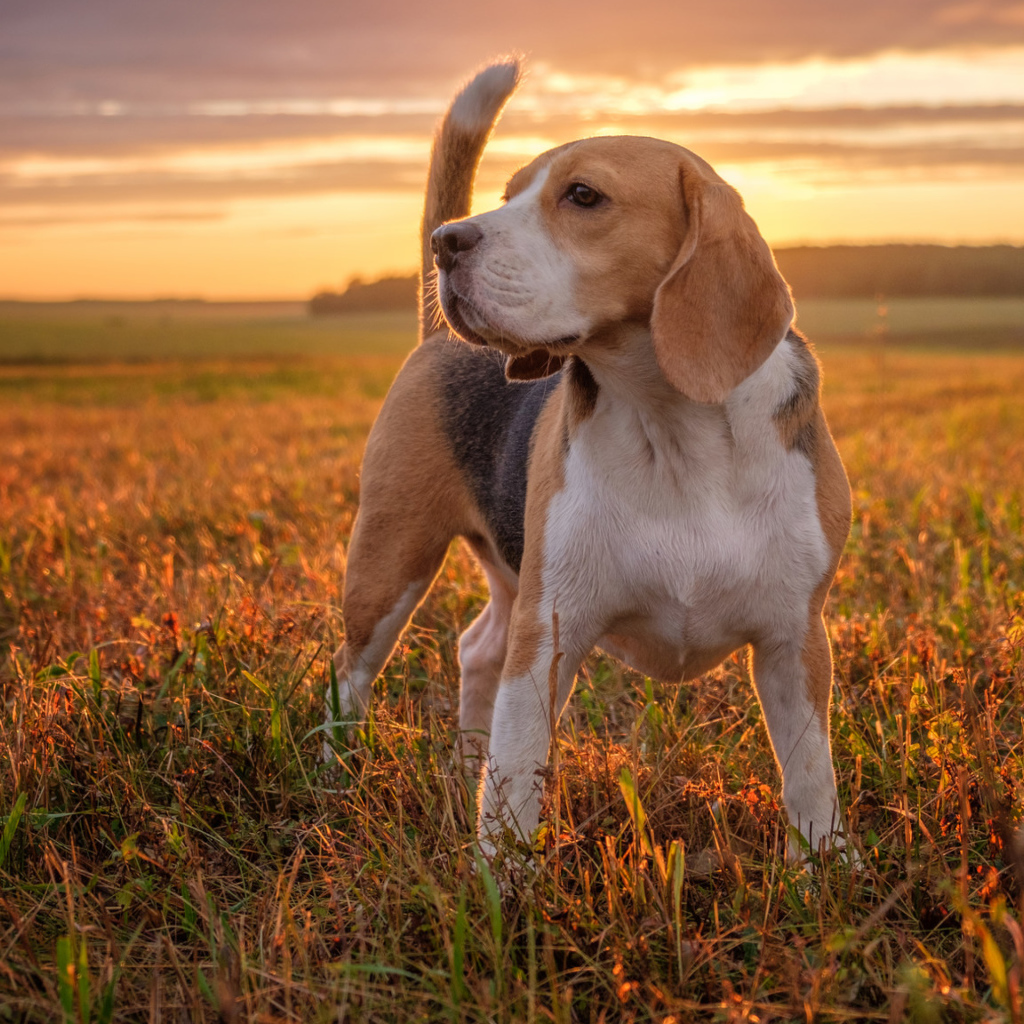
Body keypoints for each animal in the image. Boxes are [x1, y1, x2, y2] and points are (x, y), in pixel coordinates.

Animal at [323, 59, 851, 860]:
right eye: (507, 196)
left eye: (582, 196)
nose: (448, 241)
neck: (672, 426)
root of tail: (437, 336)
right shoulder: (550, 633)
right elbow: (516, 778)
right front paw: (499, 883)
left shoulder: (797, 639)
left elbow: (811, 776)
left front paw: (824, 870)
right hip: (390, 562)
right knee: (350, 677)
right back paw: (328, 778)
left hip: (508, 572)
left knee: (477, 648)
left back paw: (463, 766)